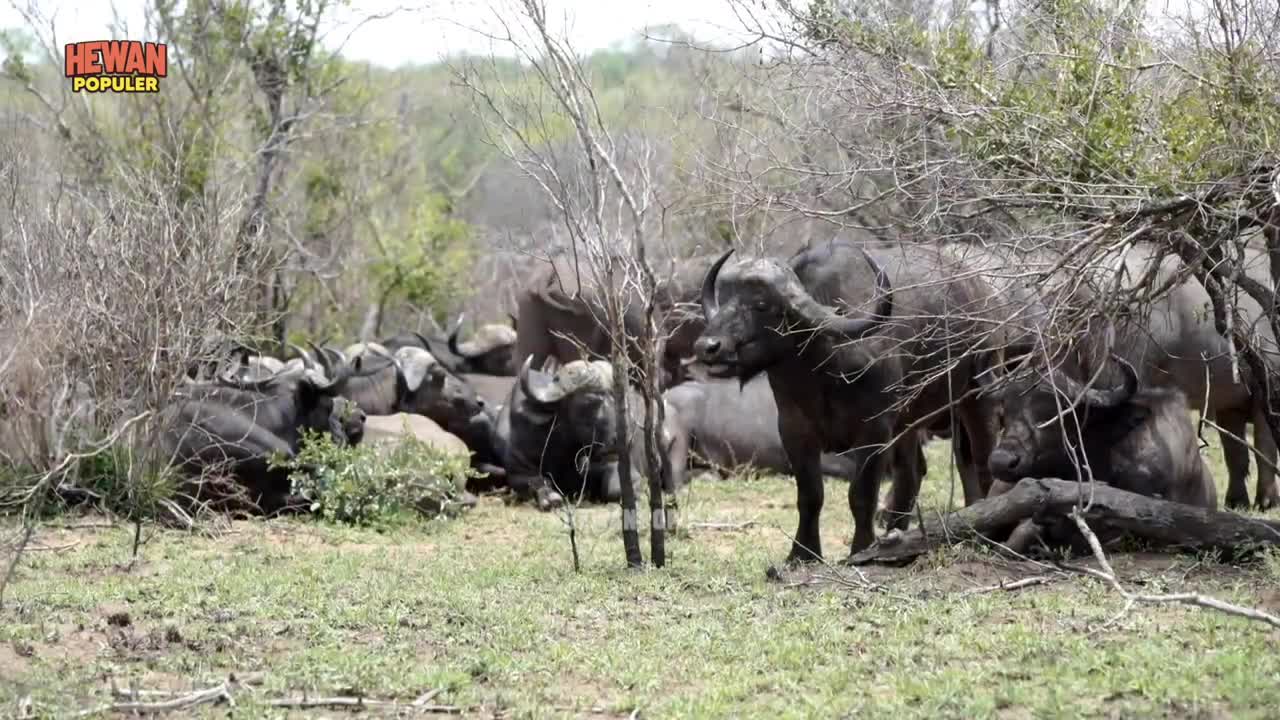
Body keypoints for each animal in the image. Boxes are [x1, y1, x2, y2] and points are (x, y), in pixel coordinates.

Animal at [691, 240, 998, 561]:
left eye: (762, 305)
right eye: (725, 299)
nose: (707, 347)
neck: (823, 370)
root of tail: (980, 291)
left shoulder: (874, 431)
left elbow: (861, 495)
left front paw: (861, 549)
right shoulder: (793, 428)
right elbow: (810, 495)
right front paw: (802, 553)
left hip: (977, 395)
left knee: (978, 458)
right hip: (908, 423)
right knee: (912, 473)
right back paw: (898, 535)